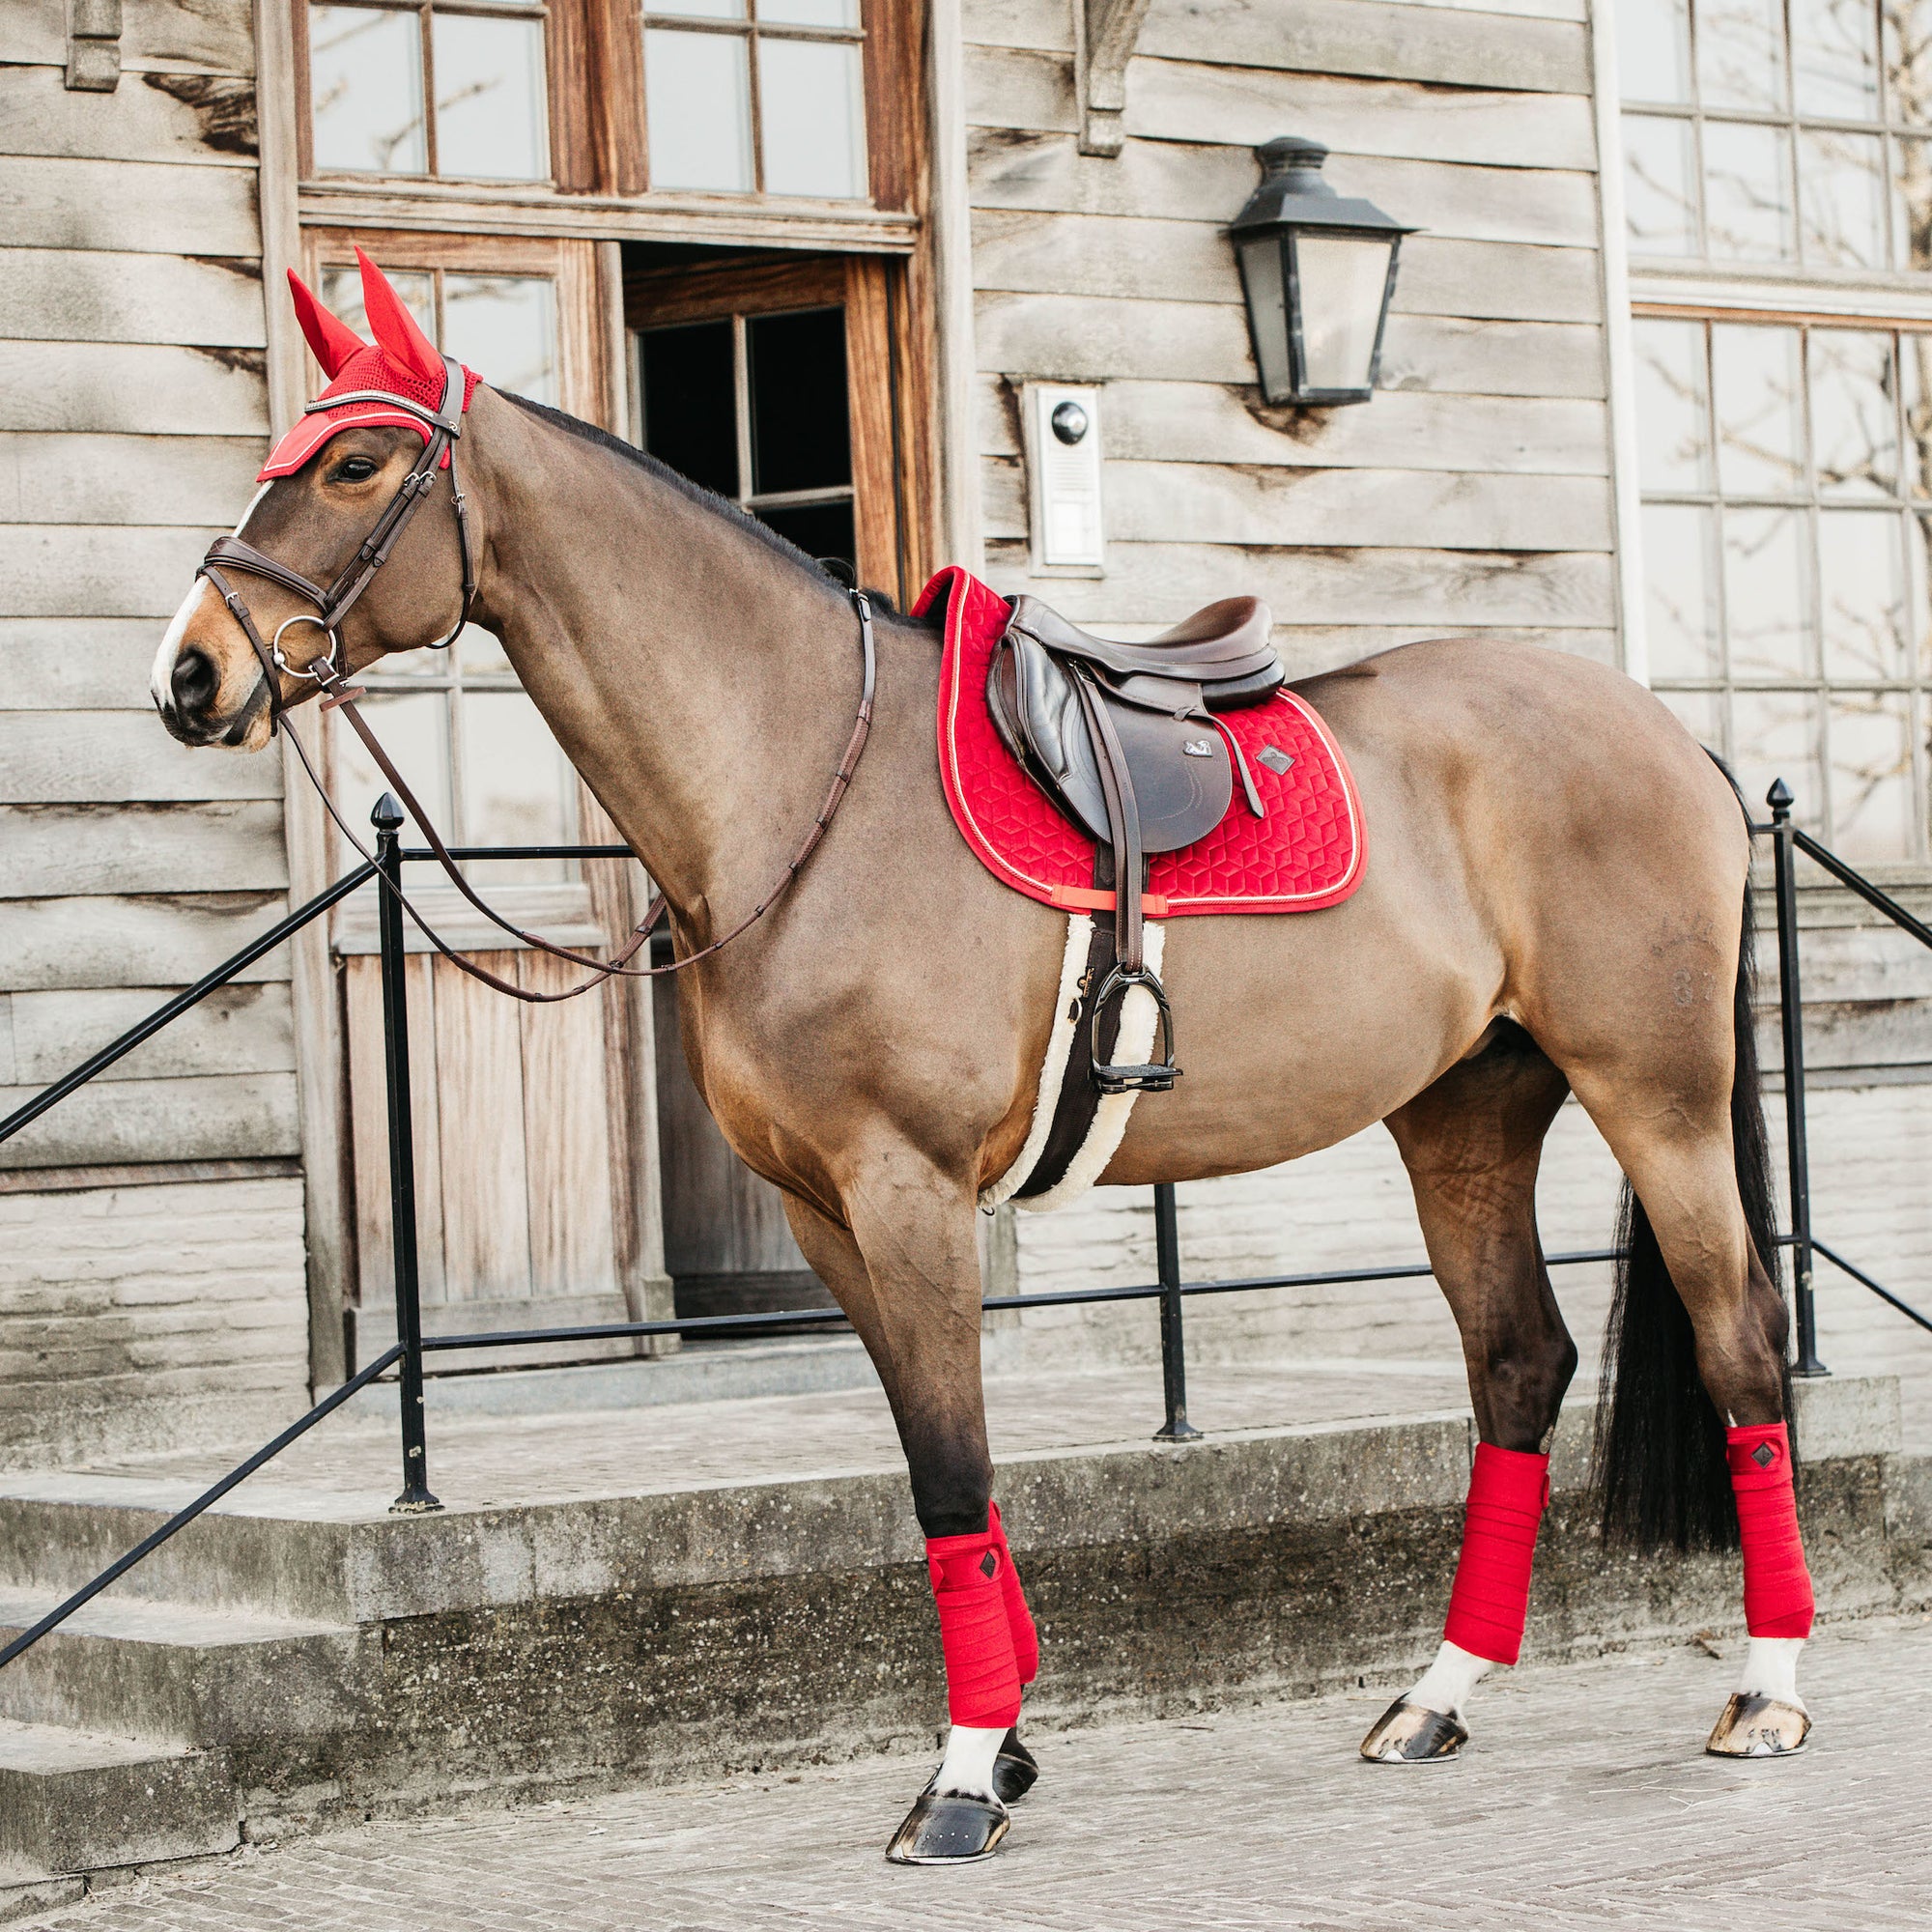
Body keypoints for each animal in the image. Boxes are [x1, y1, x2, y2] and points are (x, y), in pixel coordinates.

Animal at [147, 253, 1808, 1855]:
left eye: (354, 460)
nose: (192, 674)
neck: (805, 783)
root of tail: (1667, 732)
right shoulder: (826, 1217)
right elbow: (937, 1477)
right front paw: (1001, 1740)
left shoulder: (910, 1196)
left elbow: (954, 1466)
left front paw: (959, 1779)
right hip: (1466, 1119)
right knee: (1518, 1366)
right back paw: (1438, 1695)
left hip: (1658, 1101)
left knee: (1743, 1343)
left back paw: (1766, 1689)